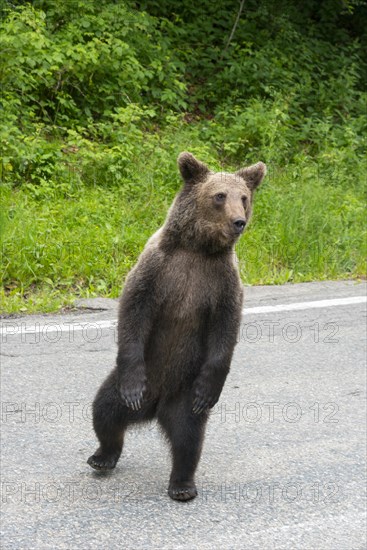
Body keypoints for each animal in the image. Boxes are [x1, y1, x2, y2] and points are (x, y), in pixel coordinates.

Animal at [89, 153, 268, 502]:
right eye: (219, 195)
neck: (198, 249)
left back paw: (182, 485)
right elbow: (133, 309)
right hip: (133, 381)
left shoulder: (222, 282)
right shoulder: (159, 268)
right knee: (105, 410)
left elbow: (225, 329)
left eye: (244, 197)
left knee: (188, 437)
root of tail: (155, 407)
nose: (239, 221)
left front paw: (212, 385)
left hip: (184, 391)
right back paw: (103, 455)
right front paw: (131, 385)